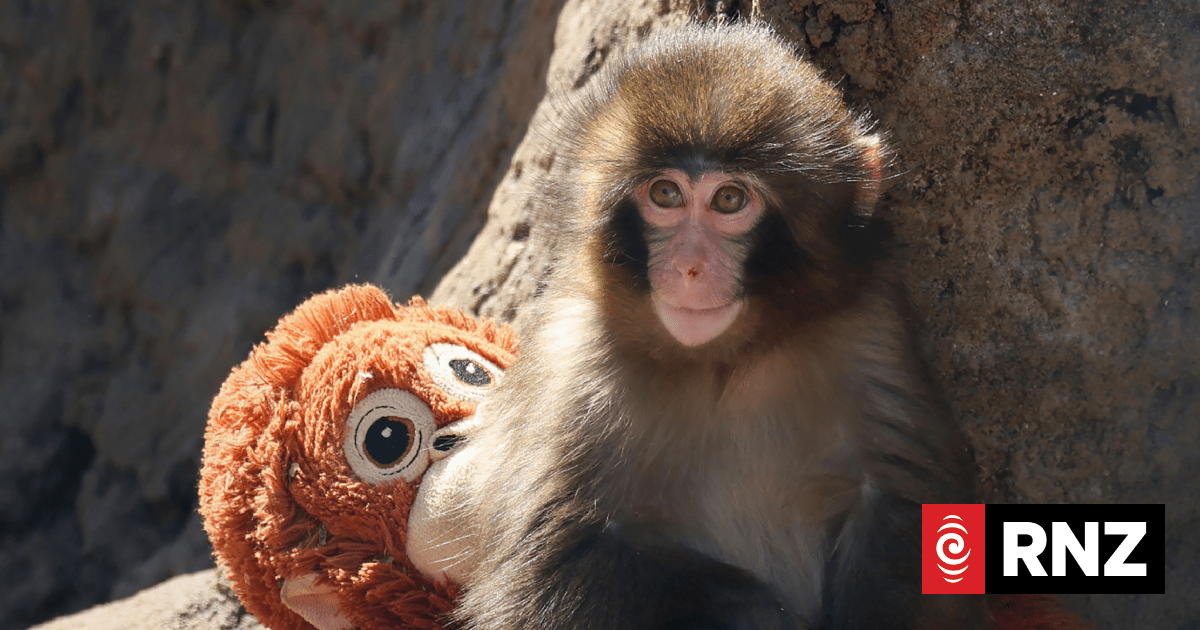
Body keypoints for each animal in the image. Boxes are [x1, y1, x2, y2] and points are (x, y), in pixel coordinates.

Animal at [450, 22, 988, 630]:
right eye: (665, 194)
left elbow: (904, 509)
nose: (690, 267)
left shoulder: (870, 328)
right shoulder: (572, 363)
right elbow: (545, 568)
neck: (723, 360)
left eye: (729, 199)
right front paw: (756, 612)